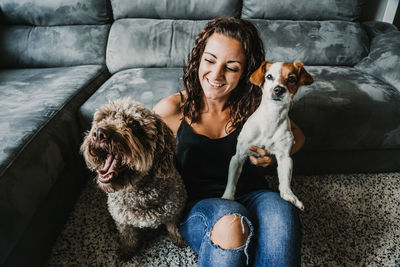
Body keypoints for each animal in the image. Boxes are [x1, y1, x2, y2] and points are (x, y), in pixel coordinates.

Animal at [222, 61, 312, 211]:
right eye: (269, 76)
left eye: (291, 78)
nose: (278, 89)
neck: (272, 117)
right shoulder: (239, 156)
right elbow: (232, 180)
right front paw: (227, 197)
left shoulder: (285, 157)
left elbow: (285, 180)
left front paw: (289, 195)